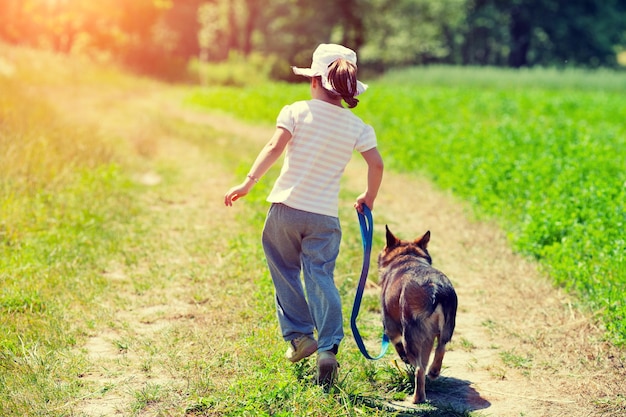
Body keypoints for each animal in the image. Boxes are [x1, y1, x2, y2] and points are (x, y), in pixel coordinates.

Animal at [376, 226, 458, 402]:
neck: (407, 256)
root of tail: (436, 288)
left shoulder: (390, 327)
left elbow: (397, 344)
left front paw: (403, 359)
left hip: (411, 336)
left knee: (419, 368)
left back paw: (417, 398)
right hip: (444, 330)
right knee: (440, 350)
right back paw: (433, 372)